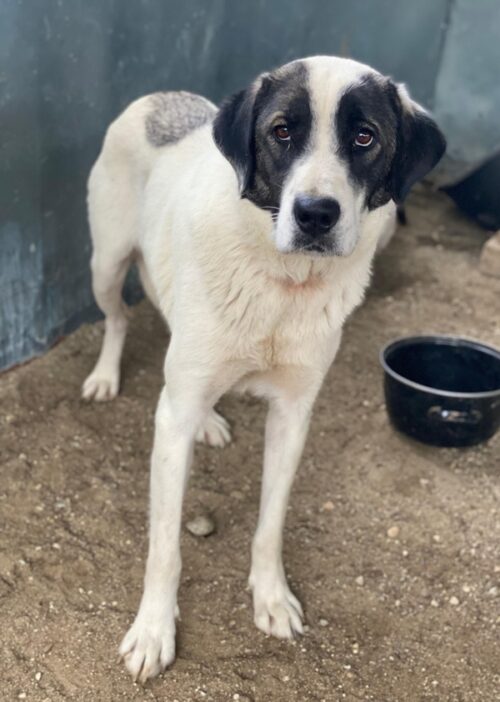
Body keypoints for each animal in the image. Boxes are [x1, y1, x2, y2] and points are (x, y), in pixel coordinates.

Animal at [82, 55, 445, 682]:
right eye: (281, 131)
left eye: (365, 136)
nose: (315, 214)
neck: (282, 283)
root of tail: (161, 97)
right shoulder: (170, 425)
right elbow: (165, 548)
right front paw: (153, 631)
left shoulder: (294, 414)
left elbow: (270, 524)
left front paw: (271, 598)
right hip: (106, 264)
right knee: (121, 318)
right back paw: (107, 376)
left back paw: (208, 420)